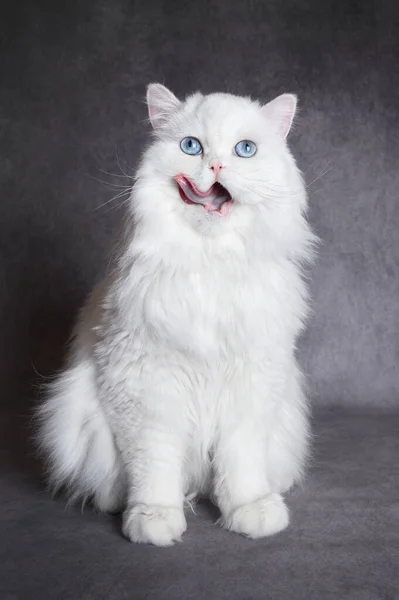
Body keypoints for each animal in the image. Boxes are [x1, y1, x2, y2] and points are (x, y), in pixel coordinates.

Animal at [38, 85, 318, 548]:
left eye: (245, 150)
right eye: (192, 147)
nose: (216, 165)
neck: (210, 261)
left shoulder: (250, 389)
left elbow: (240, 466)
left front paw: (251, 512)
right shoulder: (146, 389)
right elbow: (155, 467)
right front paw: (154, 520)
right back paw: (117, 504)